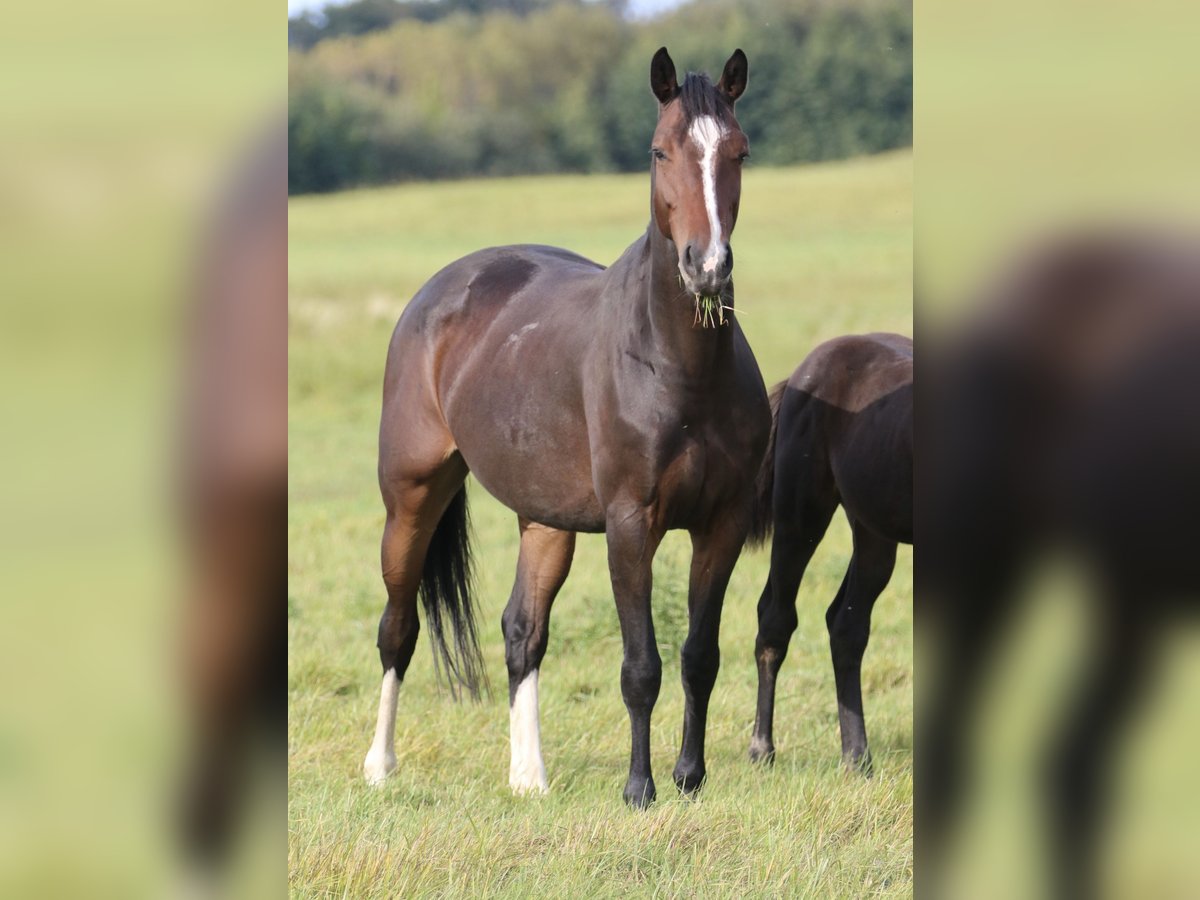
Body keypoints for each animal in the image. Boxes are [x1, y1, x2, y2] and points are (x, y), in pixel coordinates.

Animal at [360, 47, 768, 811]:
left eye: (739, 151)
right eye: (660, 150)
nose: (707, 267)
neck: (678, 366)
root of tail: (439, 292)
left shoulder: (722, 523)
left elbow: (699, 656)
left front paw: (689, 776)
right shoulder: (632, 524)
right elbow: (641, 665)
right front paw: (640, 789)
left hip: (543, 519)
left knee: (522, 632)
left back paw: (529, 777)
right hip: (412, 497)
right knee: (398, 628)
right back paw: (380, 764)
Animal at [744, 336, 912, 772]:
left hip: (872, 532)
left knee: (844, 624)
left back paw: (854, 754)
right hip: (801, 518)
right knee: (779, 619)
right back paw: (766, 749)